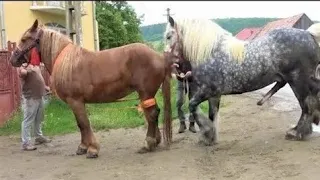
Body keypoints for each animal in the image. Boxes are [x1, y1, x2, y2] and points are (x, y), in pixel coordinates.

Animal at [10, 19, 172, 159]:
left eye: (25, 39)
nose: (13, 59)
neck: (66, 60)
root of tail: (159, 57)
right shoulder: (76, 103)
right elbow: (80, 124)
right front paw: (82, 147)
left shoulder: (75, 101)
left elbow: (84, 124)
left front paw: (92, 149)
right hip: (147, 94)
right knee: (153, 114)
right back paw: (155, 141)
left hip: (145, 92)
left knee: (151, 115)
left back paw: (148, 143)